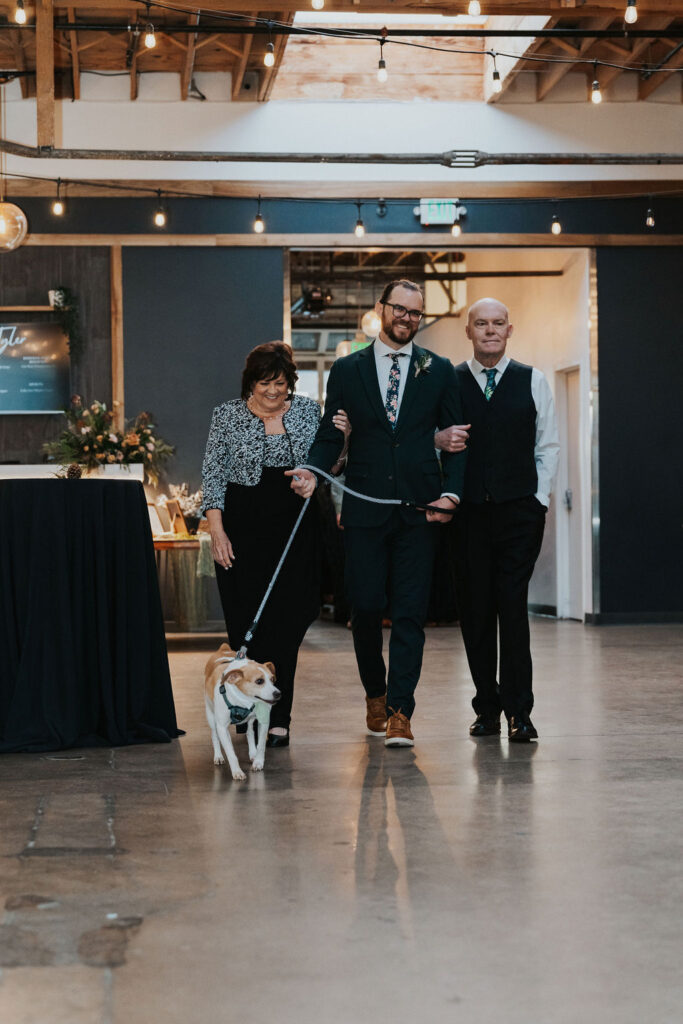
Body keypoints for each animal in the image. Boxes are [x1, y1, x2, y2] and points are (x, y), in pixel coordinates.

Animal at [202, 643, 280, 778]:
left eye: (272, 679)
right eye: (259, 681)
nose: (278, 694)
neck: (244, 700)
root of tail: (224, 648)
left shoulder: (263, 721)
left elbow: (261, 745)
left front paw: (258, 762)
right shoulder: (222, 727)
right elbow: (230, 752)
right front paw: (237, 771)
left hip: (250, 721)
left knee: (249, 731)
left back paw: (252, 753)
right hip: (211, 716)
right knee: (215, 735)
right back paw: (218, 756)